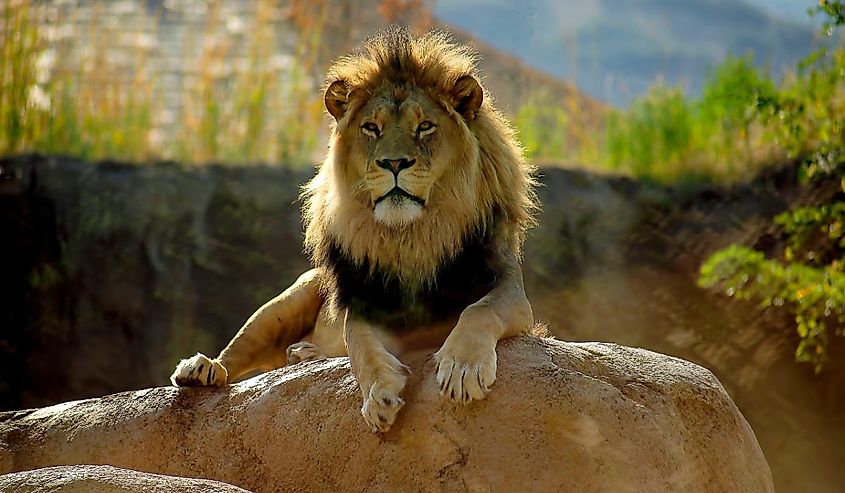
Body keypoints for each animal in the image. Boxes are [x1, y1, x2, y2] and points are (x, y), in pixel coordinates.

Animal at [172, 27, 540, 430]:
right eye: (371, 128)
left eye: (424, 126)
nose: (393, 162)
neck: (414, 238)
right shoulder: (365, 305)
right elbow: (360, 345)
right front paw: (379, 394)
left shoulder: (509, 291)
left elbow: (479, 311)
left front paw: (462, 369)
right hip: (292, 296)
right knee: (238, 352)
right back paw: (205, 368)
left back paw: (302, 354)